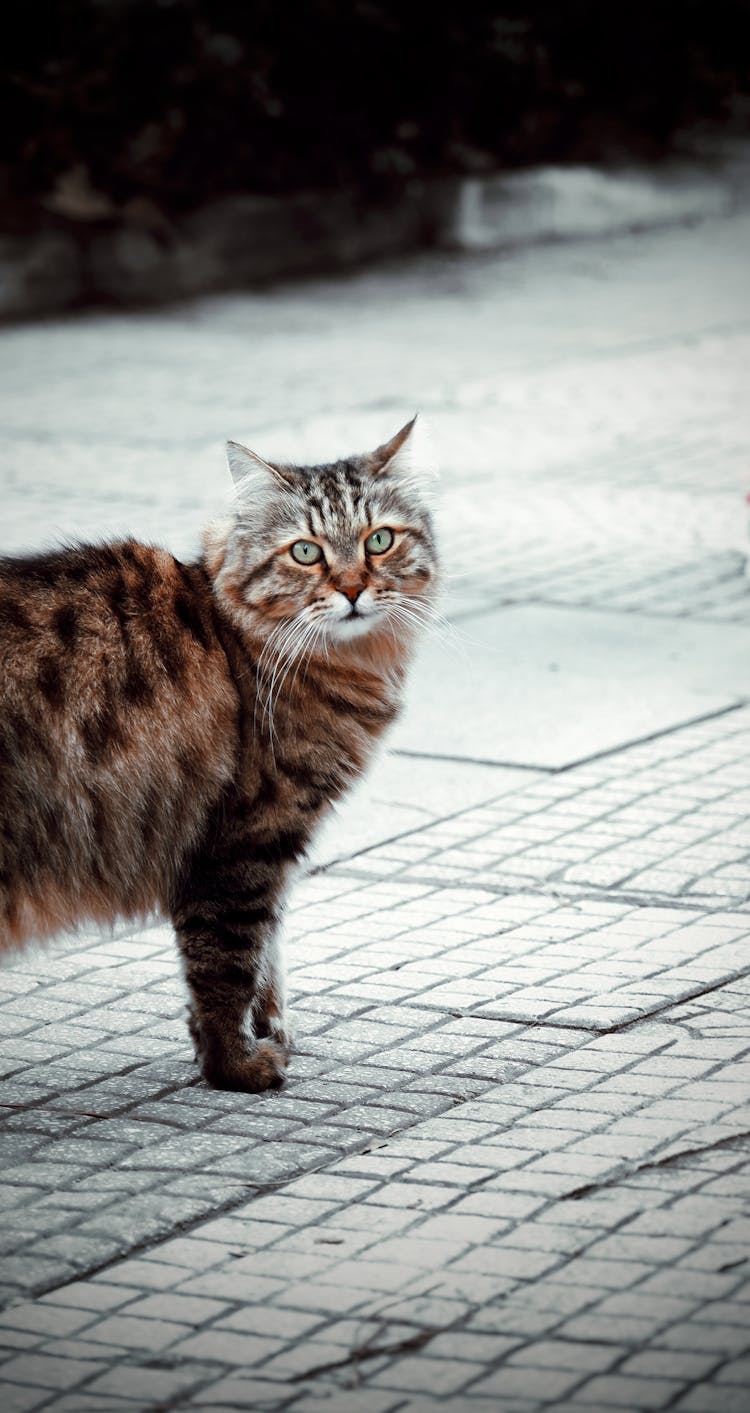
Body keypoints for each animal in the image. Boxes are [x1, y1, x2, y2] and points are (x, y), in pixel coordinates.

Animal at [0, 418, 437, 1090]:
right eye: (306, 552)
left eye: (379, 541)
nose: (354, 589)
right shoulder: (243, 840)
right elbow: (227, 963)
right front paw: (236, 1065)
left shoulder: (276, 847)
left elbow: (268, 952)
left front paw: (271, 1028)